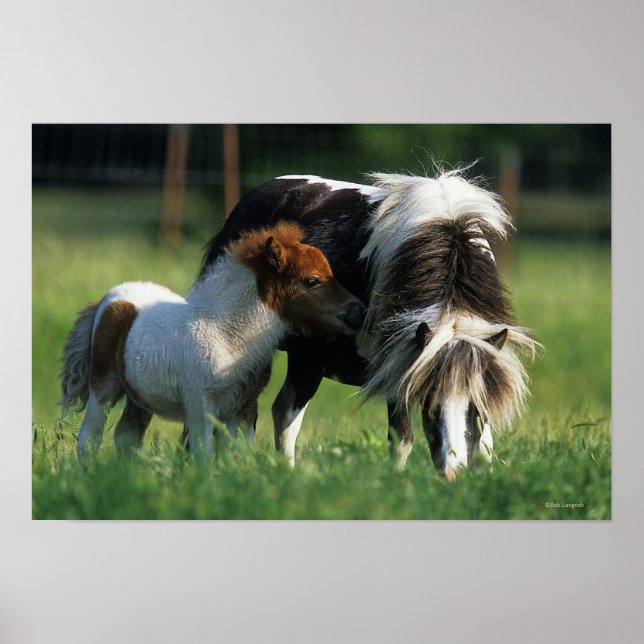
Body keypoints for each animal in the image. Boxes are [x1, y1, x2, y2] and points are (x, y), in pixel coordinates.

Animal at [59, 222, 366, 460]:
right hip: (104, 386)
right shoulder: (201, 406)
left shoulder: (244, 408)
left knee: (127, 437)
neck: (227, 336)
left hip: (141, 395)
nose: (358, 312)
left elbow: (235, 455)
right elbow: (203, 455)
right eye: (312, 280)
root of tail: (110, 298)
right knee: (90, 437)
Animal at [198, 170, 537, 477]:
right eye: (430, 404)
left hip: (306, 360)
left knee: (283, 414)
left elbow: (485, 444)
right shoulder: (398, 367)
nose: (453, 473)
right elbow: (402, 440)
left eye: (474, 408)